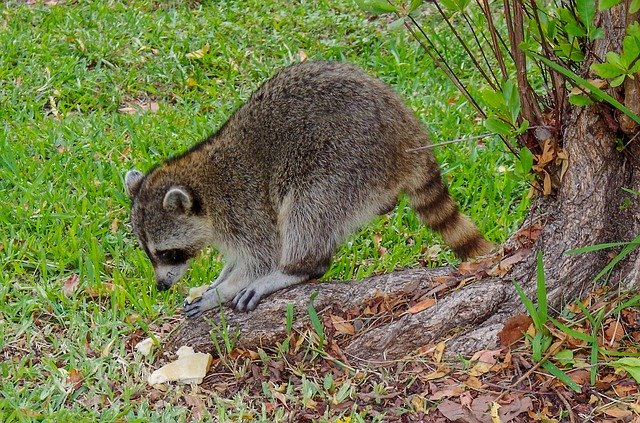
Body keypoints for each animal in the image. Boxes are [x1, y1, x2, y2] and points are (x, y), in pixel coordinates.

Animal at [126, 60, 496, 318]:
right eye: (150, 253)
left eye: (168, 254)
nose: (161, 286)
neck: (201, 182)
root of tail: (409, 132)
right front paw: (220, 279)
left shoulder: (243, 205)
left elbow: (261, 255)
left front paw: (225, 289)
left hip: (348, 159)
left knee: (308, 203)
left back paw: (298, 267)